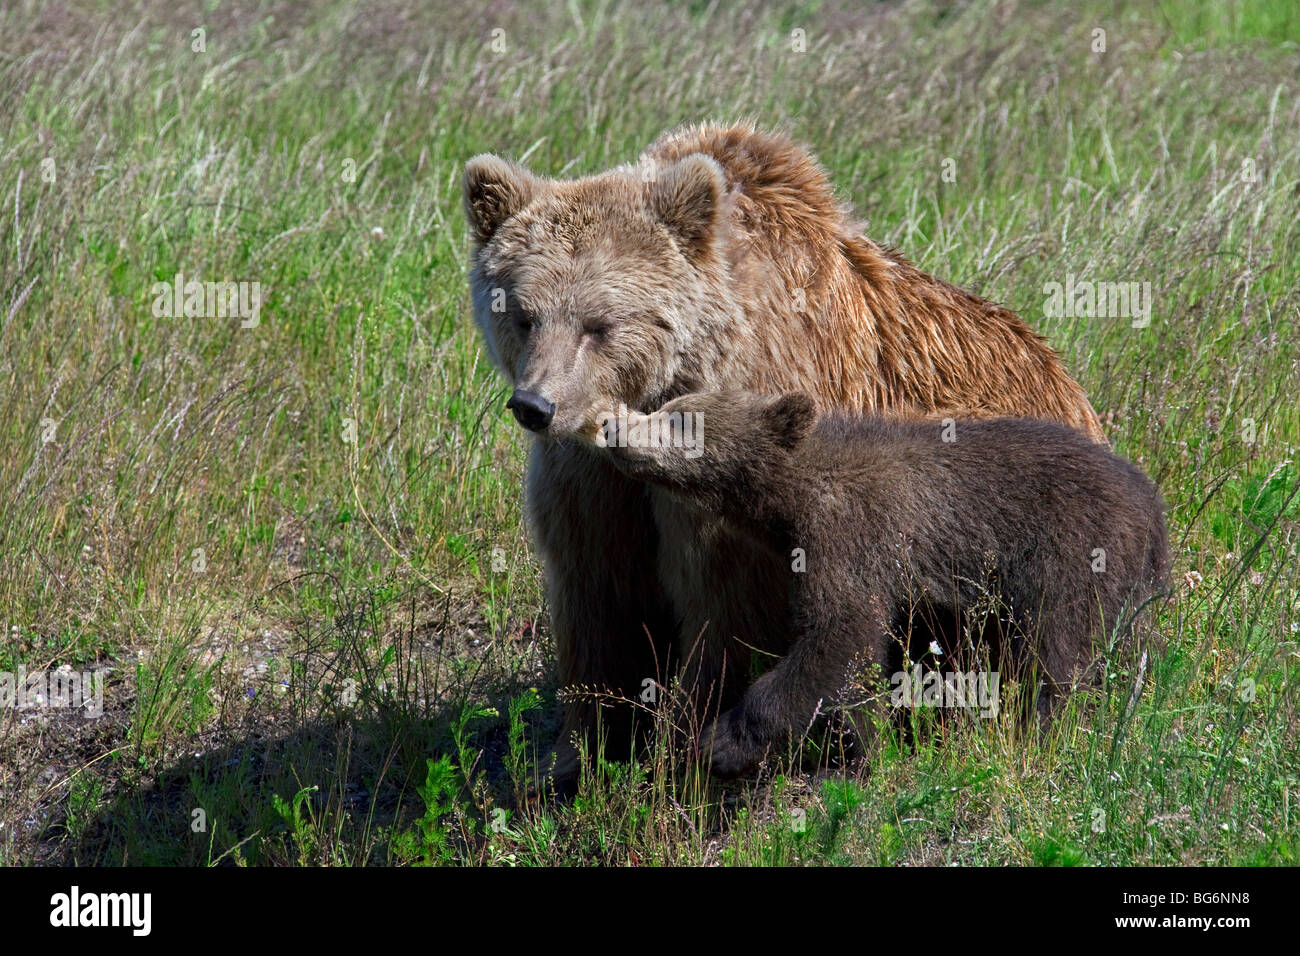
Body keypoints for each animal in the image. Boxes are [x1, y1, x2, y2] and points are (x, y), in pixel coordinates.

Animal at [462, 122, 1107, 793]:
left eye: (599, 323)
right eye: (523, 315)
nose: (536, 405)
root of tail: (1075, 390)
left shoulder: (738, 464)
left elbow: (724, 613)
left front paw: (688, 756)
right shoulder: (590, 486)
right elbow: (597, 599)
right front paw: (569, 760)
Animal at [588, 391, 1169, 777]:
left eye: (680, 418)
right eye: (665, 406)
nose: (612, 425)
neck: (792, 499)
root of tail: (1151, 500)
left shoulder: (852, 534)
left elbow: (840, 636)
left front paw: (723, 740)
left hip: (1071, 550)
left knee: (1059, 651)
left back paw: (1044, 731)